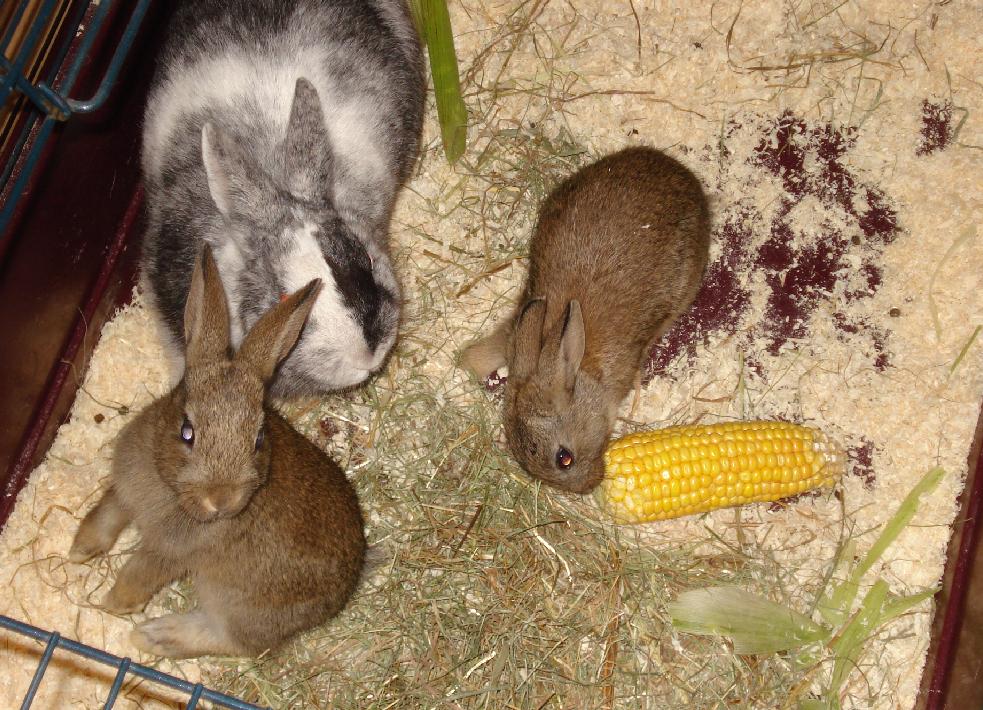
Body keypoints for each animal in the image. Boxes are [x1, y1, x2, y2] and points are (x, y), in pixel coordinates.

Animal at [70, 248, 366, 660]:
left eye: (258, 438)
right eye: (187, 431)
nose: (222, 500)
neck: (169, 489)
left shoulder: (169, 552)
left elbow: (138, 576)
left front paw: (111, 605)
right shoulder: (124, 490)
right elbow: (107, 514)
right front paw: (79, 551)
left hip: (235, 605)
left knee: (230, 641)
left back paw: (152, 635)